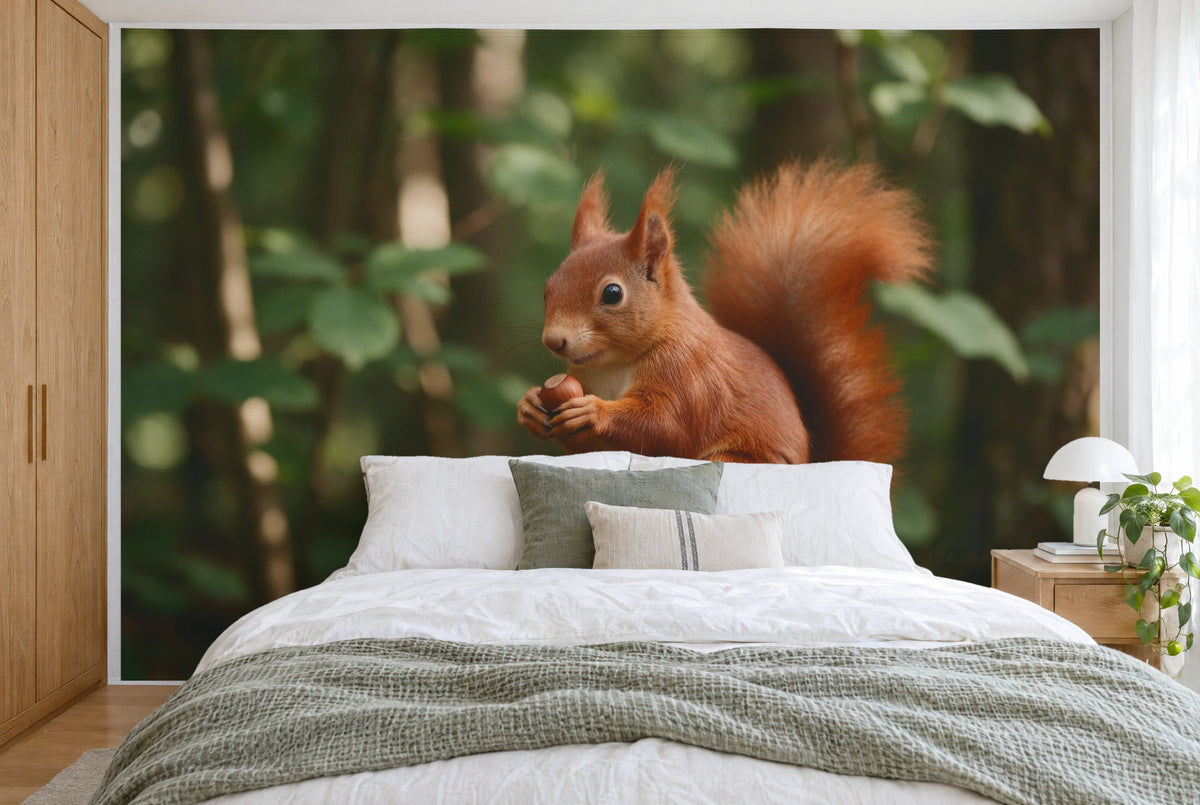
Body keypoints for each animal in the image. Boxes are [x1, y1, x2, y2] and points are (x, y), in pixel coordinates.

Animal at [516, 160, 934, 465]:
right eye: (547, 289)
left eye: (612, 293)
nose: (554, 340)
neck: (613, 364)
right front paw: (530, 405)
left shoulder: (690, 378)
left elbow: (666, 426)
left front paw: (594, 412)